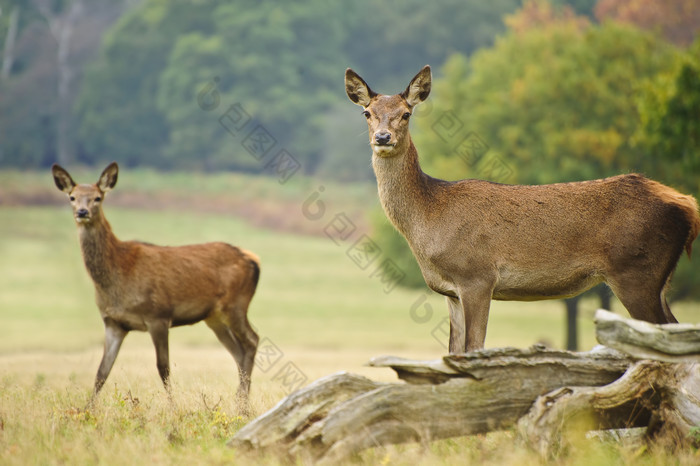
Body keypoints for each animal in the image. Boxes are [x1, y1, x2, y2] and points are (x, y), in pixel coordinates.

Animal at [52, 163, 260, 400]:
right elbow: (102, 372)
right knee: (238, 352)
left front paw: (174, 406)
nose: (82, 212)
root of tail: (253, 260)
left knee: (252, 341)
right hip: (214, 317)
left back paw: (243, 402)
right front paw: (88, 408)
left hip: (236, 305)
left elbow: (164, 369)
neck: (118, 274)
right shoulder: (113, 322)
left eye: (97, 198)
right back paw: (240, 401)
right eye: (72, 197)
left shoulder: (158, 315)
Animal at [344, 65, 700, 354]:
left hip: (636, 270)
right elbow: (453, 352)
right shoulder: (450, 291)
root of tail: (688, 205)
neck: (429, 216)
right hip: (658, 277)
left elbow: (474, 348)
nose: (383, 137)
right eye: (367, 113)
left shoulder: (477, 276)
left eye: (406, 113)